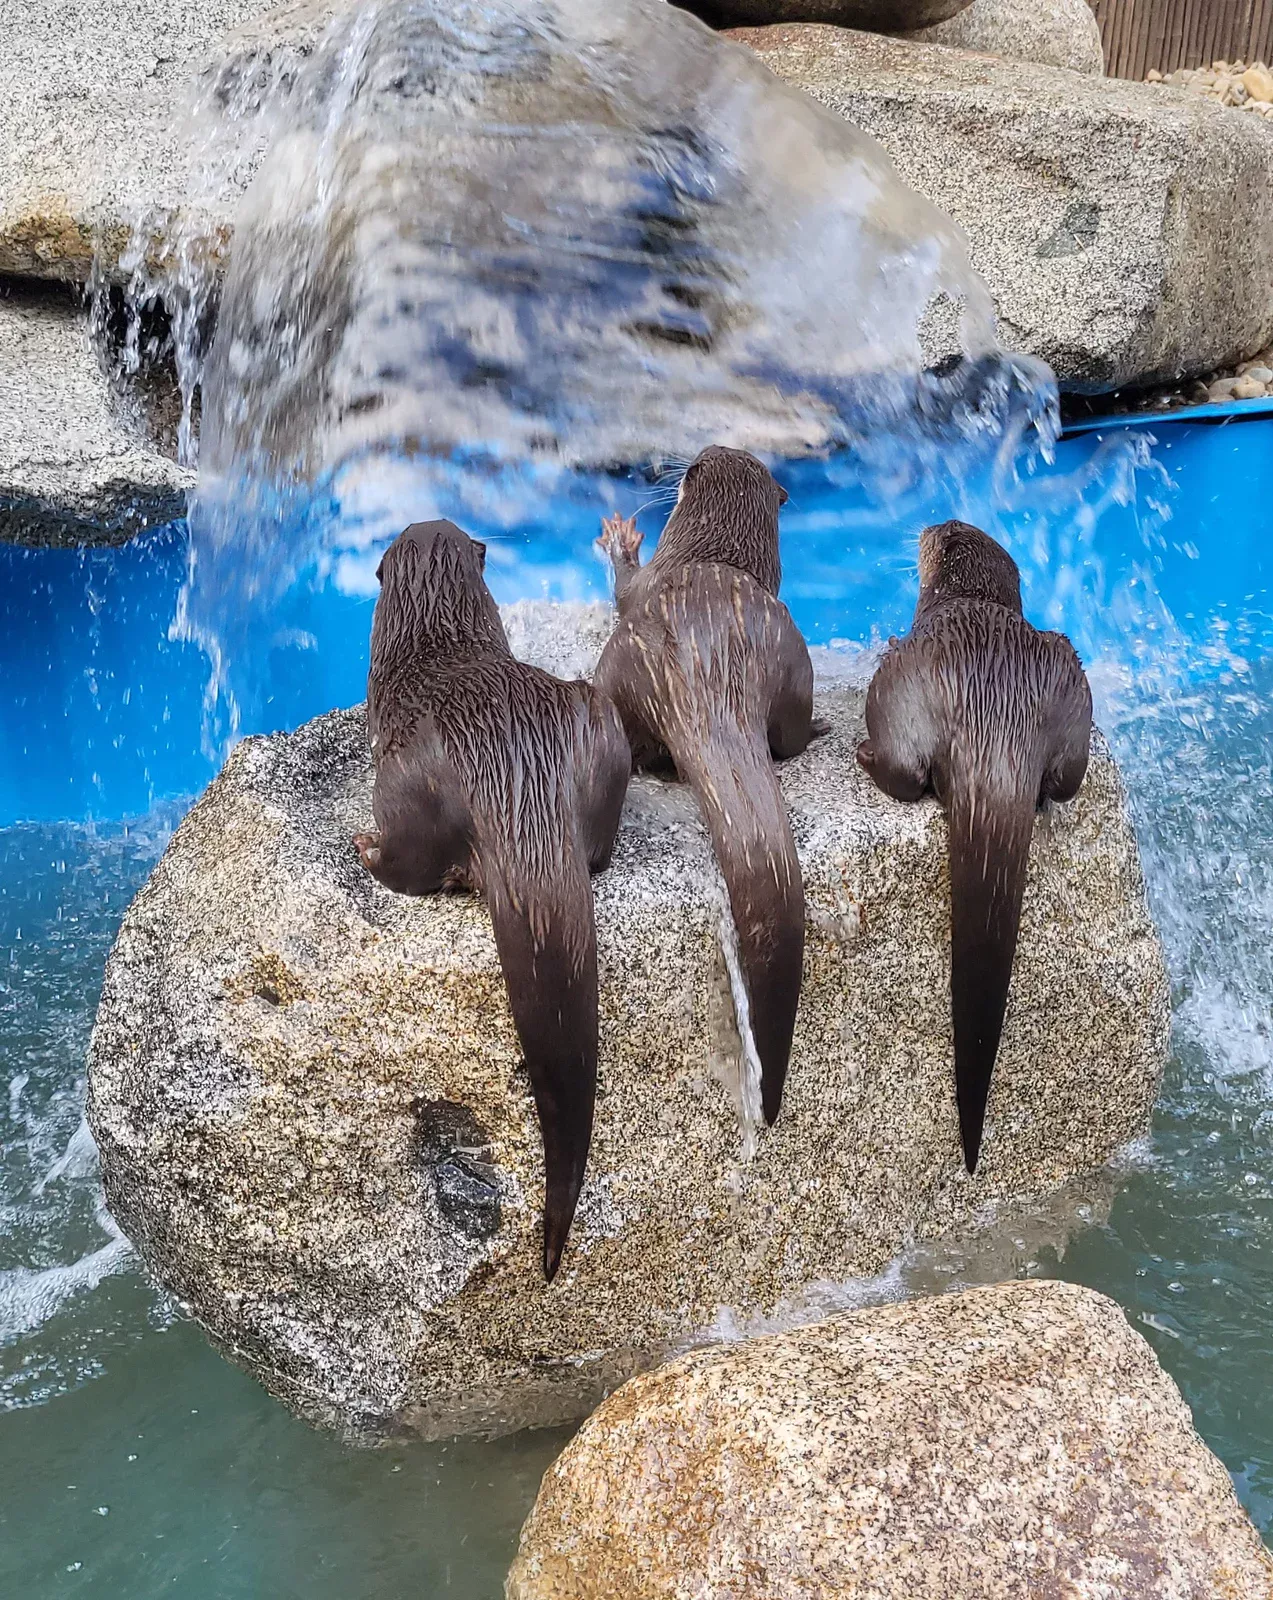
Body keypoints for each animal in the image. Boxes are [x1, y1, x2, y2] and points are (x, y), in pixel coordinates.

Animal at [357, 520, 631, 1280]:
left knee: (410, 863)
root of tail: (515, 779)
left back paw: (366, 848)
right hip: (601, 726)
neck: (439, 638)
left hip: (407, 784)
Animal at [593, 446, 820, 1126]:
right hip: (791, 654)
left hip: (622, 672)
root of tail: (708, 667)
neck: (708, 553)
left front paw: (621, 541)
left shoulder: (642, 590)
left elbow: (624, 588)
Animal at [857, 519, 1092, 1173]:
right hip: (1071, 683)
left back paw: (863, 753)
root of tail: (994, 733)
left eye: (941, 533)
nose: (928, 524)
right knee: (1064, 780)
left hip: (899, 683)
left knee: (903, 771)